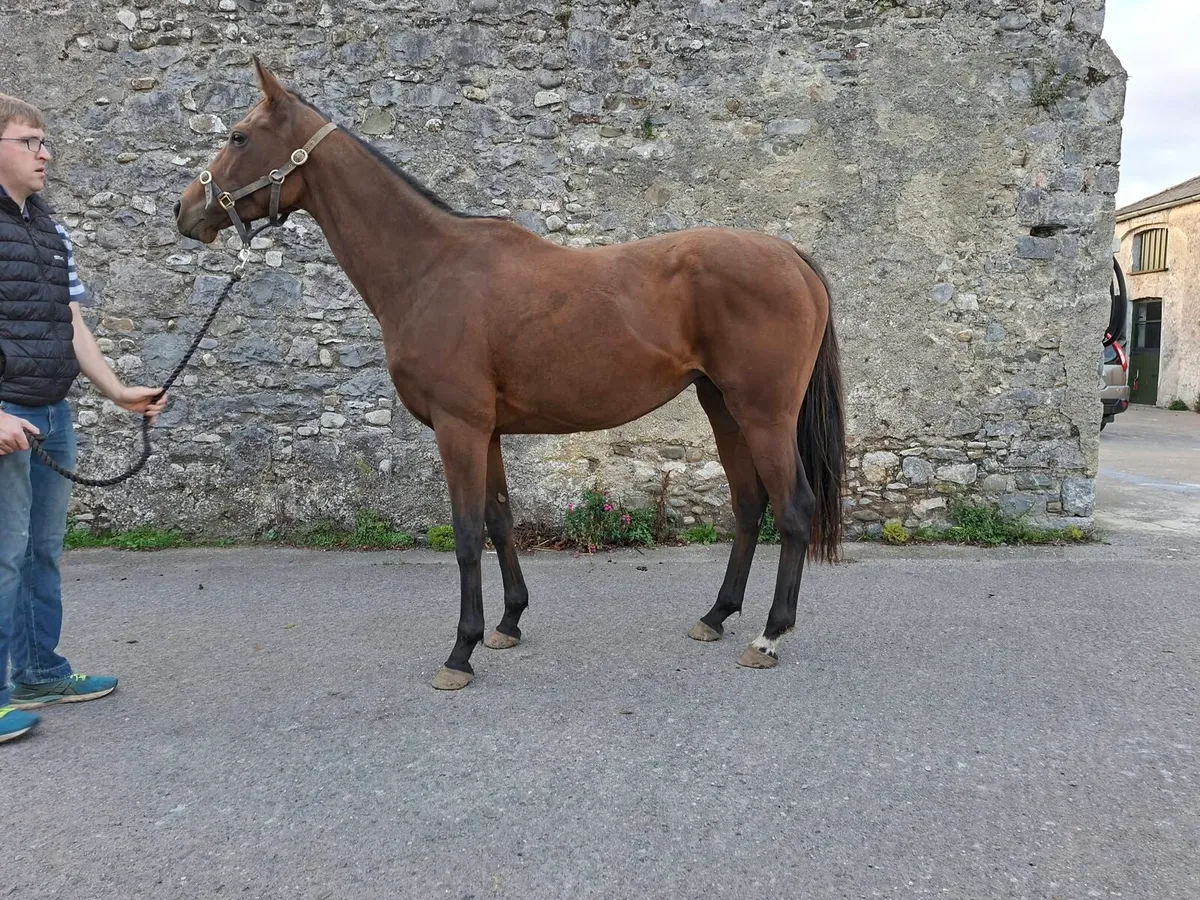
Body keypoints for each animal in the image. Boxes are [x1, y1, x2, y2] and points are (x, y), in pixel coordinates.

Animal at [173, 59, 846, 691]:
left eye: (237, 136)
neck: (428, 269)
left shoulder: (459, 428)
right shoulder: (487, 431)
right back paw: (716, 615)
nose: (185, 212)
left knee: (793, 507)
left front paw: (460, 652)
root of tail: (791, 256)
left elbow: (468, 532)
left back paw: (768, 636)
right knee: (749, 503)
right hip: (722, 406)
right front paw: (507, 623)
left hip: (764, 413)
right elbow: (500, 520)